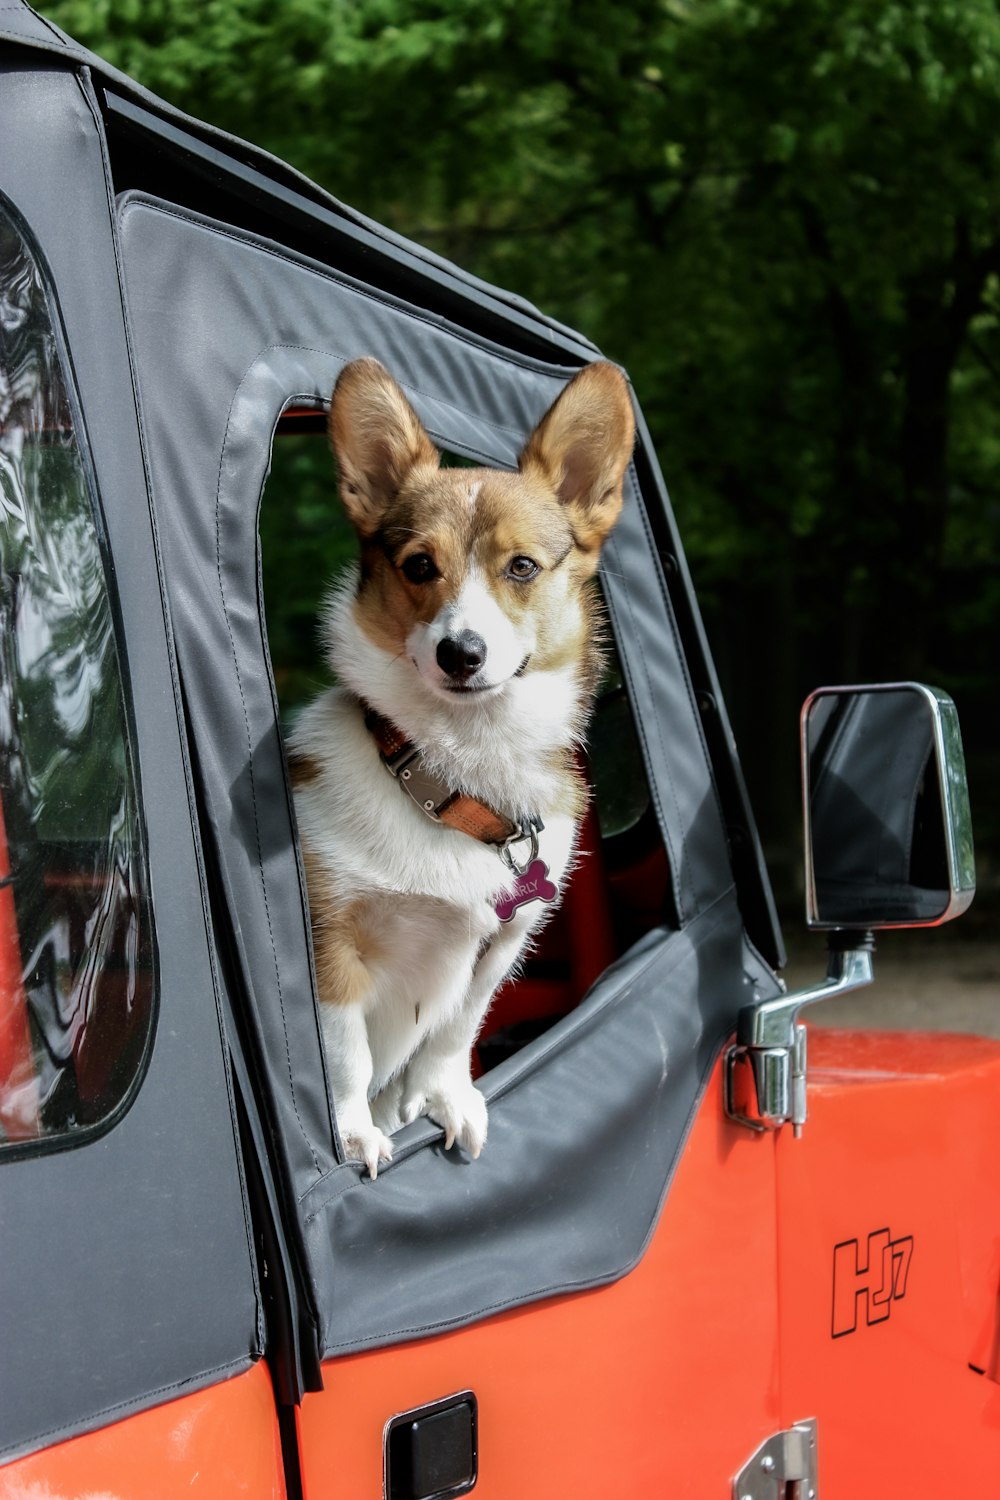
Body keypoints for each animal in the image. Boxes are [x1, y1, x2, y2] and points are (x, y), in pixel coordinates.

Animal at [289, 354, 632, 1170]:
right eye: (419, 566)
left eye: (522, 567)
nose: (461, 652)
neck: (455, 772)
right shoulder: (331, 941)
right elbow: (344, 1053)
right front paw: (351, 1130)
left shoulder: (502, 940)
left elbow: (454, 1032)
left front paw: (444, 1098)